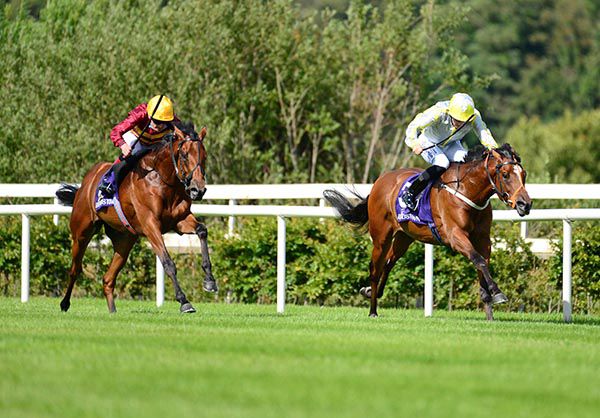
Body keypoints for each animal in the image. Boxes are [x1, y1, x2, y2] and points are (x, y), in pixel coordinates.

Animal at [56, 121, 217, 314]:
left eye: (204, 156)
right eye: (184, 155)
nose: (198, 190)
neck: (163, 180)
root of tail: (86, 182)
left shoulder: (179, 220)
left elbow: (202, 230)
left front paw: (209, 281)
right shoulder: (150, 225)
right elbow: (168, 262)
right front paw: (184, 301)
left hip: (124, 240)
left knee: (108, 279)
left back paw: (112, 311)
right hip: (81, 232)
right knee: (75, 269)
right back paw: (64, 303)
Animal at [324, 143, 532, 320]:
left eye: (524, 174)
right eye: (505, 174)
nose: (525, 204)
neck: (467, 190)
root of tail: (380, 181)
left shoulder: (483, 239)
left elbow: (482, 264)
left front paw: (489, 308)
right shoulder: (455, 236)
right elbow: (479, 260)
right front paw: (497, 292)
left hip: (404, 237)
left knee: (389, 263)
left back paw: (370, 292)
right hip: (381, 237)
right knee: (375, 268)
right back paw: (373, 310)